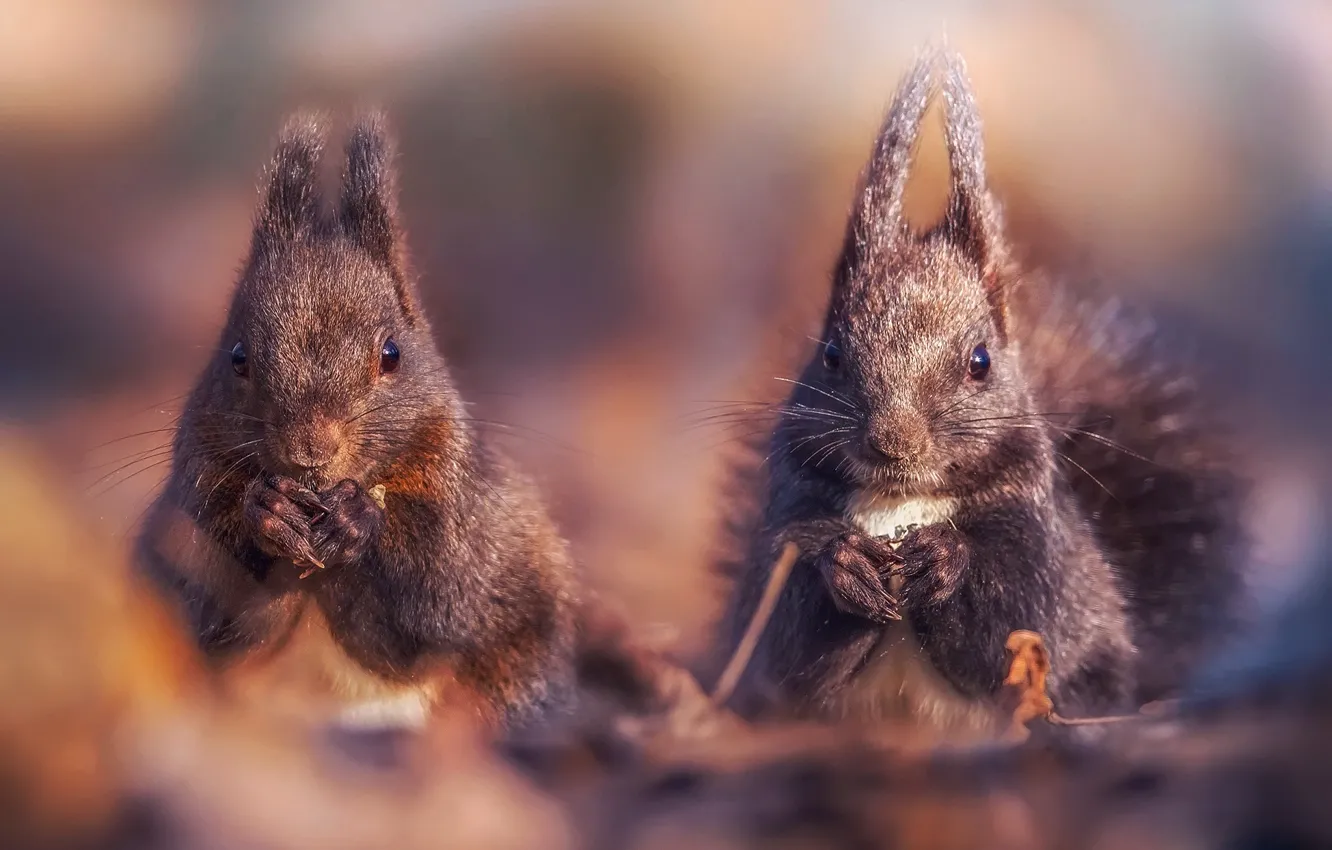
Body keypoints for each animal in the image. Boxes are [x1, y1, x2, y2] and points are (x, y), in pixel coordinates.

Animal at [134, 112, 578, 733]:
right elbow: (220, 625)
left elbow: (426, 622)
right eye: (237, 356)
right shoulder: (192, 505)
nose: (309, 449)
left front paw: (356, 520)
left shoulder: (465, 527)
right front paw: (267, 512)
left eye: (392, 354)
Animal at [712, 47, 1249, 735]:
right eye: (830, 355)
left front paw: (945, 558)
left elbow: (1015, 618)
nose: (893, 442)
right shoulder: (781, 526)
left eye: (980, 361)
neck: (901, 502)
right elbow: (784, 638)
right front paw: (844, 564)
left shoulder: (1040, 546)